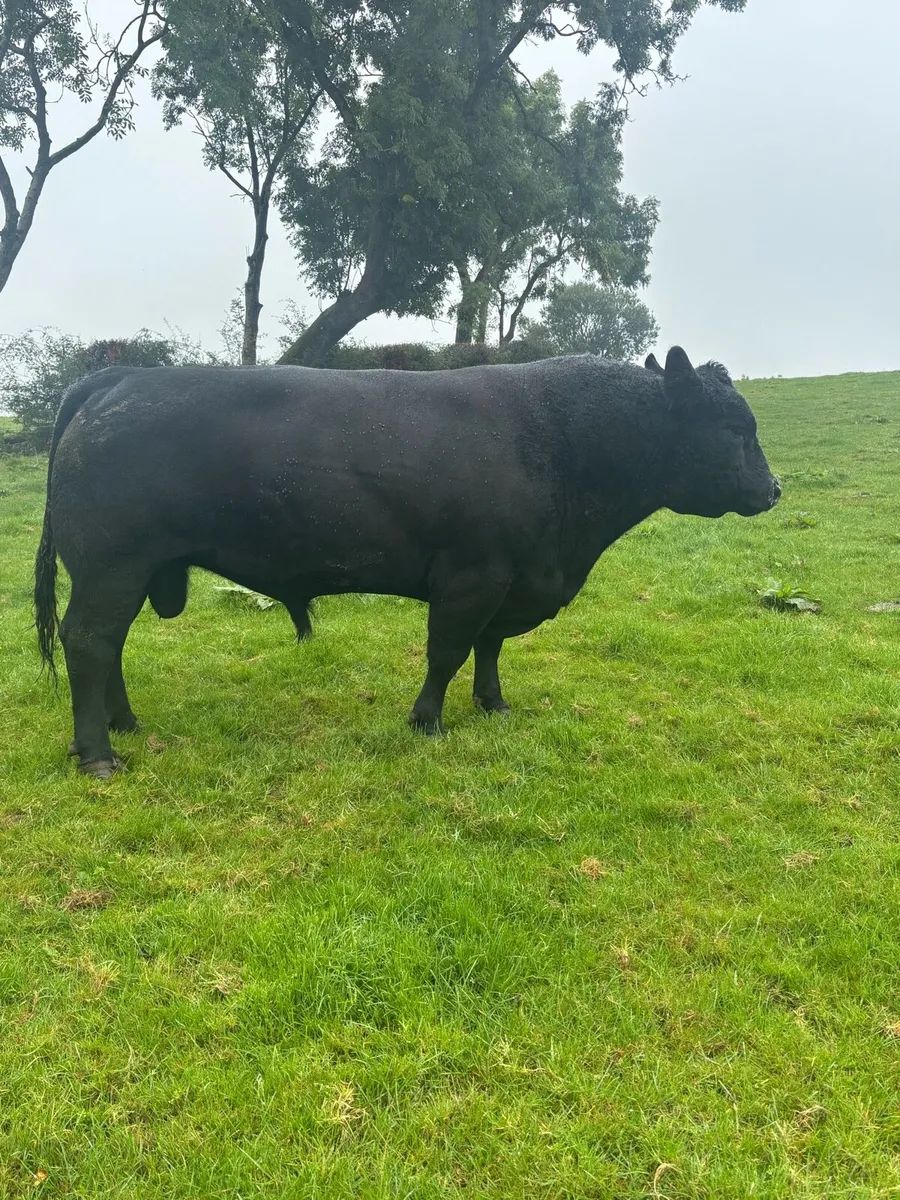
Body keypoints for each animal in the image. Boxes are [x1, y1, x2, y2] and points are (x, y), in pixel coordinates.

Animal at [34, 346, 780, 778]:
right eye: (733, 427)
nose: (773, 490)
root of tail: (120, 378)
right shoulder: (472, 575)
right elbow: (447, 650)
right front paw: (428, 722)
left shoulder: (511, 579)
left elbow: (489, 649)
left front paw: (493, 705)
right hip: (112, 565)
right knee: (90, 641)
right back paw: (98, 754)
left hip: (125, 571)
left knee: (108, 645)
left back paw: (124, 722)